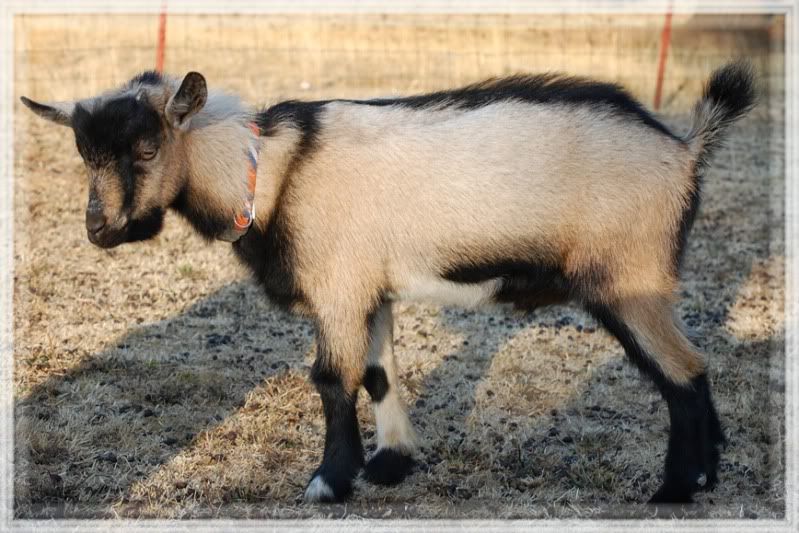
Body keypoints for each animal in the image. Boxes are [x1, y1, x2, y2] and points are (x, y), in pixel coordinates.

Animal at [21, 61, 755, 504]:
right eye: (83, 153)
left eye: (147, 148)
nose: (99, 229)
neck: (270, 174)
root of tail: (685, 149)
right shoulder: (368, 288)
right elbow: (378, 374)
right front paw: (390, 462)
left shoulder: (338, 286)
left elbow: (331, 378)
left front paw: (326, 482)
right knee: (687, 366)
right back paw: (707, 471)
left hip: (630, 276)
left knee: (681, 371)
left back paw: (676, 486)